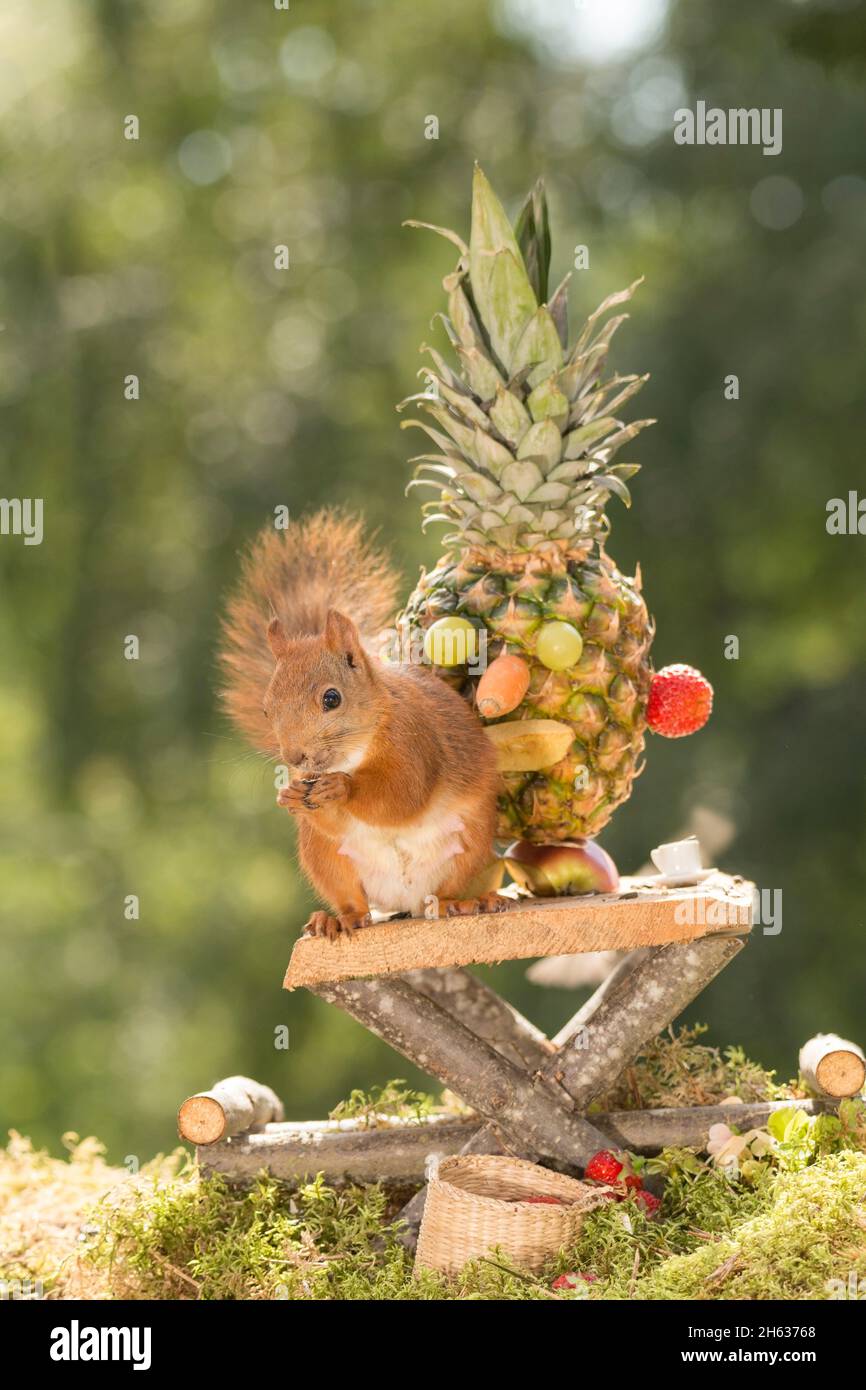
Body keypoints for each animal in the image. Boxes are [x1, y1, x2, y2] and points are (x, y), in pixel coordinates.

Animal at [218, 505, 500, 939]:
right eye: (267, 710)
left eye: (332, 698)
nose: (294, 758)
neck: (355, 752)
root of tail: (408, 900)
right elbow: (333, 817)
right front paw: (289, 796)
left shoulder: (414, 742)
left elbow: (402, 795)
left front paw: (342, 789)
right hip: (325, 856)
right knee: (354, 901)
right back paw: (334, 920)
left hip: (470, 841)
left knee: (450, 887)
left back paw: (464, 903)